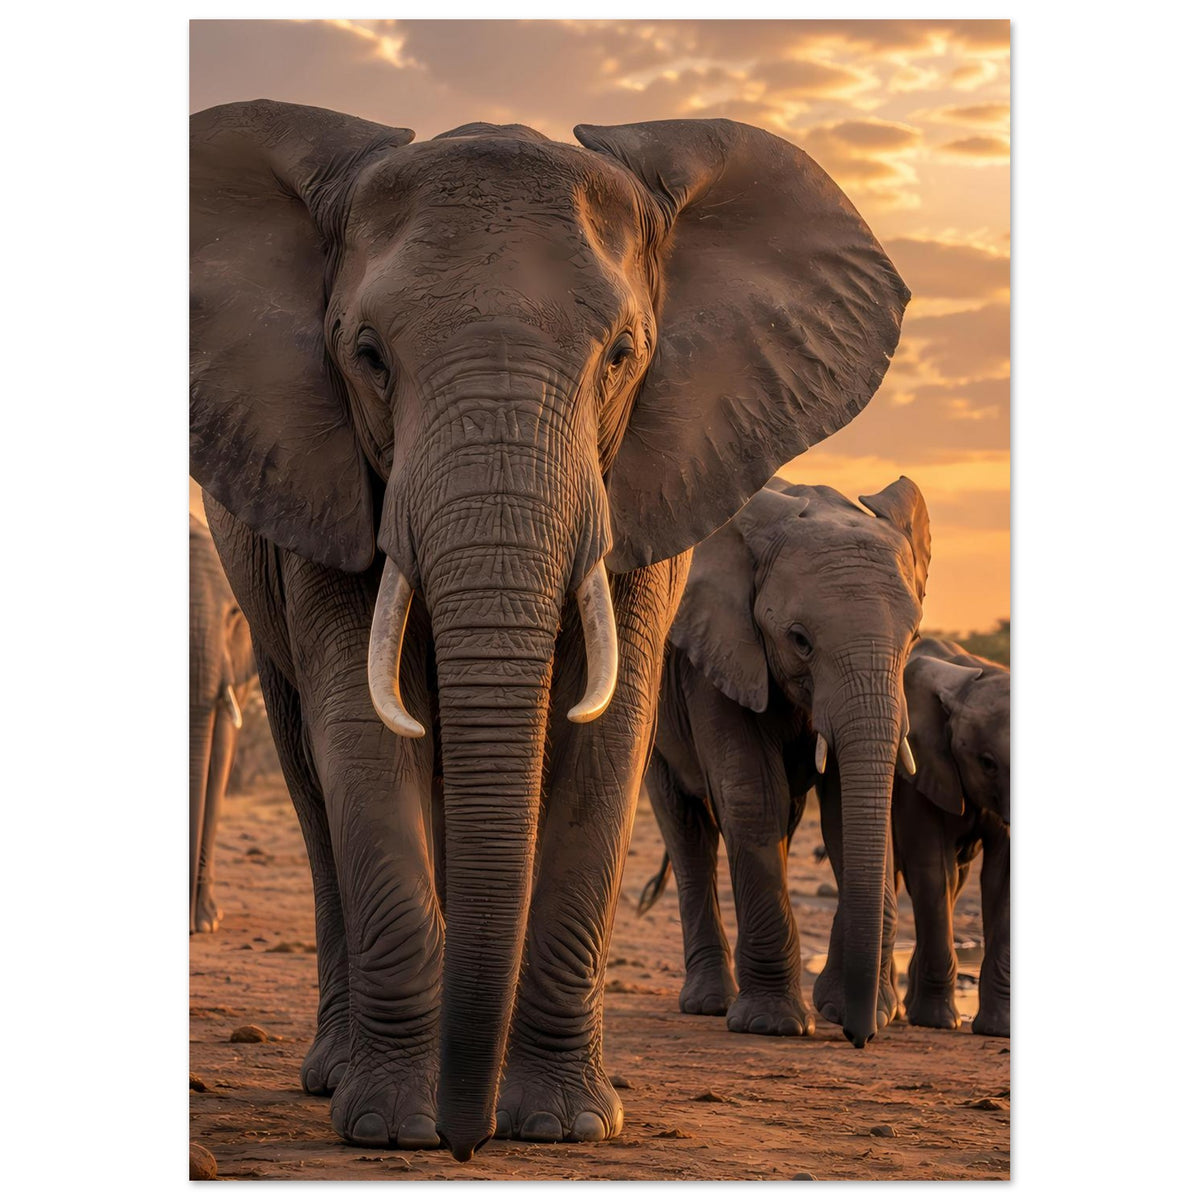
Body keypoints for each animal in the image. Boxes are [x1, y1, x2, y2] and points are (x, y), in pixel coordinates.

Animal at [640, 477, 930, 1047]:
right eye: (800, 640)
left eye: (912, 638)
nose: (860, 1038)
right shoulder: (716, 657)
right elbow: (752, 795)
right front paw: (769, 1026)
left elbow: (844, 810)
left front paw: (856, 1011)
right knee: (687, 828)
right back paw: (709, 1004)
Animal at [892, 637, 1010, 1036]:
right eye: (987, 763)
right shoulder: (919, 770)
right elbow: (931, 869)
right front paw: (938, 1023)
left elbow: (1001, 879)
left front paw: (998, 1030)